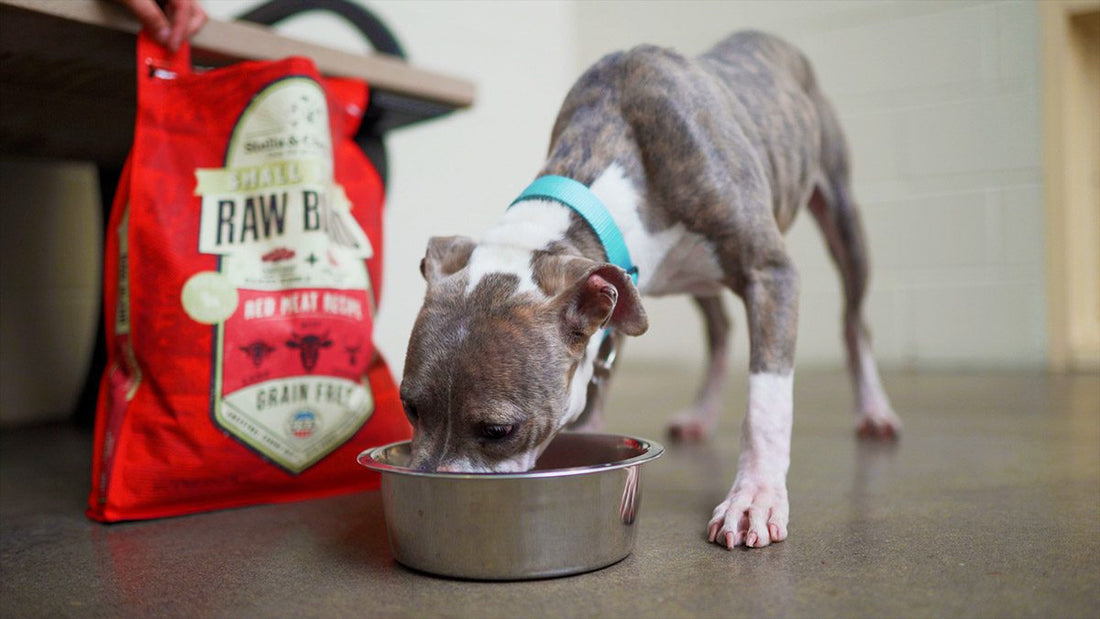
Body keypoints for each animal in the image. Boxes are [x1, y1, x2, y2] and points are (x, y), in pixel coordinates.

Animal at [400, 31, 897, 549]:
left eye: (498, 430)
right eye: (409, 407)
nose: (434, 502)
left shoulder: (770, 273)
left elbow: (767, 402)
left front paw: (754, 498)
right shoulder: (614, 305)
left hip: (843, 218)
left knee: (854, 322)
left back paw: (874, 409)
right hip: (697, 279)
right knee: (720, 329)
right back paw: (701, 413)